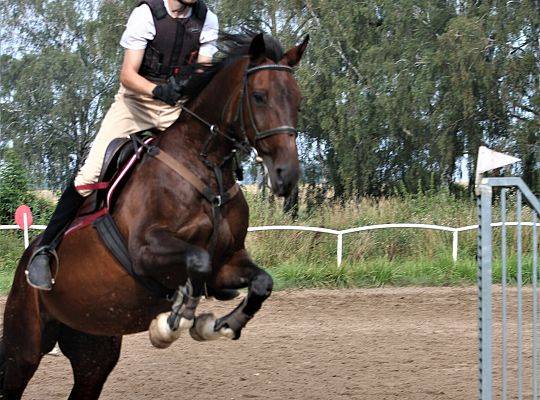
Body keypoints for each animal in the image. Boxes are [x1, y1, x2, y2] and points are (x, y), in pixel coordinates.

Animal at [1, 32, 308, 400]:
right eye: (260, 97)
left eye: (298, 101)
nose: (286, 175)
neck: (205, 166)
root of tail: (26, 258)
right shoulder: (145, 251)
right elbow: (197, 258)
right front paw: (174, 321)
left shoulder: (227, 263)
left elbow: (260, 281)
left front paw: (221, 325)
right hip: (23, 347)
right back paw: (42, 265)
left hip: (93, 349)